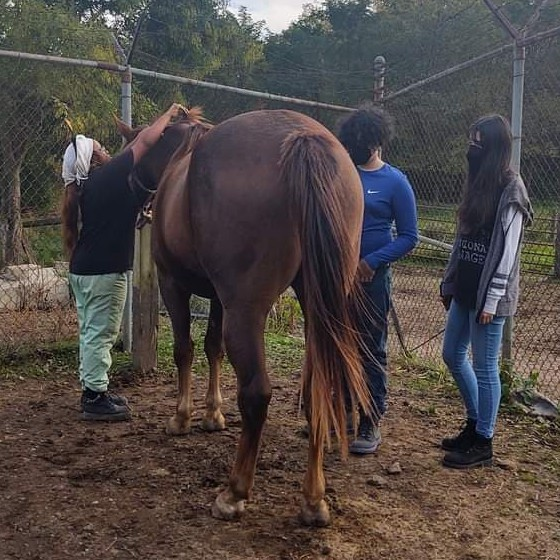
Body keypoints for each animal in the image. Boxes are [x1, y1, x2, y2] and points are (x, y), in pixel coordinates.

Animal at [120, 108, 370, 524]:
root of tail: (303, 140)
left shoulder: (174, 284)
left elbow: (185, 349)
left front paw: (183, 418)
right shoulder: (217, 298)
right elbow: (213, 348)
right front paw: (212, 415)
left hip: (247, 310)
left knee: (256, 393)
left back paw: (234, 492)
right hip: (316, 307)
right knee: (317, 388)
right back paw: (313, 499)